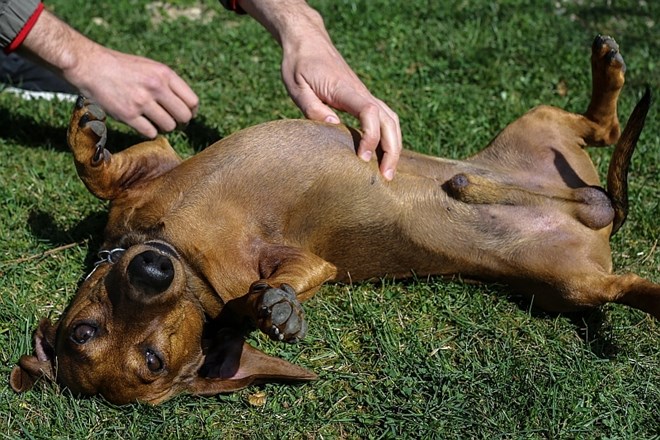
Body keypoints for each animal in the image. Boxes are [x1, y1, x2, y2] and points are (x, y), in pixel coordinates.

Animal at [7, 36, 656, 404]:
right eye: (150, 362)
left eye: (79, 331)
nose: (150, 273)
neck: (183, 257)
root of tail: (596, 213)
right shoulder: (303, 260)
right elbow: (277, 283)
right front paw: (271, 309)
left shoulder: (155, 166)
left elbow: (99, 173)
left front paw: (88, 136)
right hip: (572, 285)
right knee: (626, 282)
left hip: (537, 124)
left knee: (601, 126)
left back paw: (606, 64)